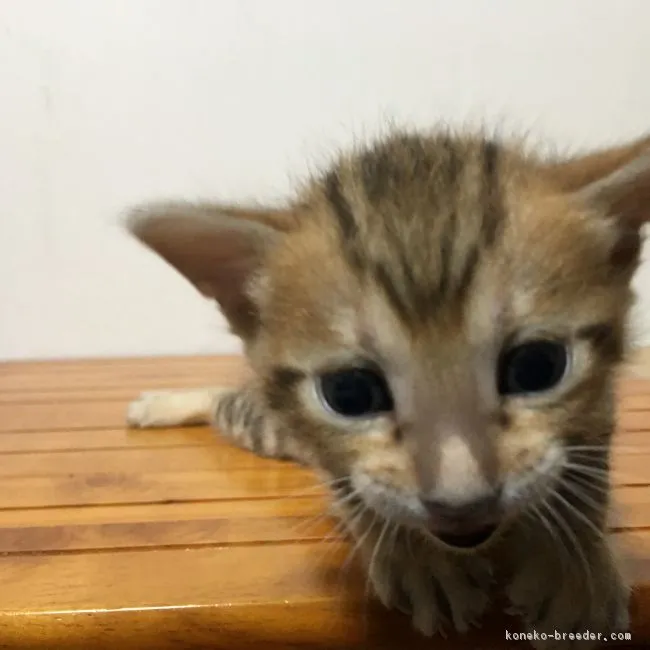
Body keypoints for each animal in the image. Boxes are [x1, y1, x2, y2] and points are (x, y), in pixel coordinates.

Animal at [123, 129, 648, 644]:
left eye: (537, 368)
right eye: (350, 394)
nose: (462, 504)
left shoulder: (600, 407)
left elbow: (586, 471)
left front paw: (574, 567)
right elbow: (356, 488)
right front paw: (419, 559)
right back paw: (159, 405)